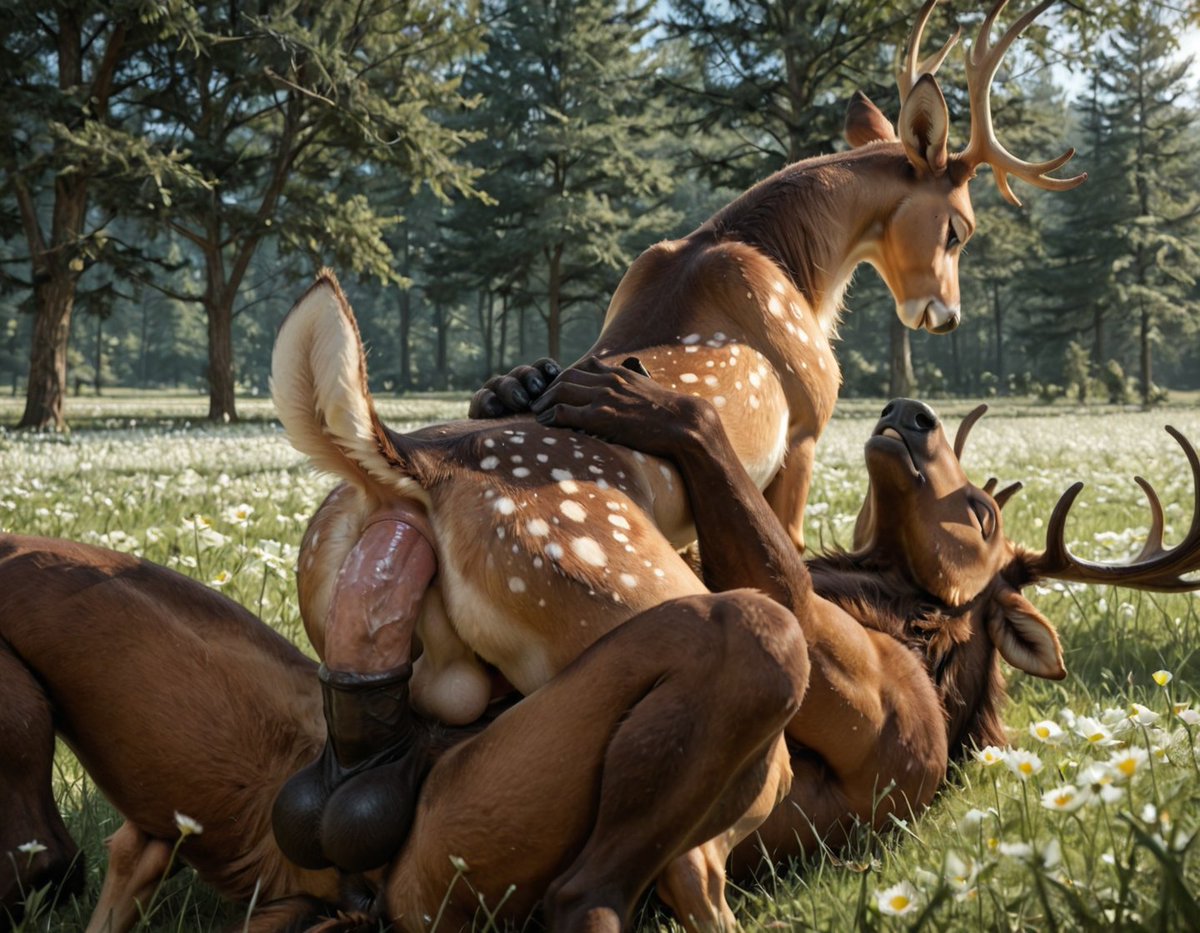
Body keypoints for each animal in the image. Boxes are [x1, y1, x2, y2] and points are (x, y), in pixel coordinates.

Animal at [5, 380, 1199, 932]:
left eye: (982, 518)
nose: (910, 411)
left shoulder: (872, 717)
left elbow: (771, 584)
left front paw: (658, 406)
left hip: (445, 856)